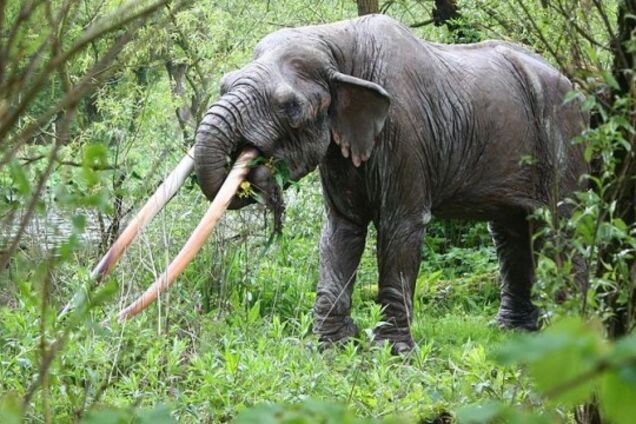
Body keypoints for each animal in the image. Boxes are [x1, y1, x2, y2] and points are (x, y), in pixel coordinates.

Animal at [193, 13, 588, 352]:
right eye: (224, 84)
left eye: (290, 106)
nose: (253, 166)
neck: (335, 41)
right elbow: (341, 229)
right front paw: (331, 347)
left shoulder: (405, 132)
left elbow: (401, 226)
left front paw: (393, 353)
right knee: (511, 231)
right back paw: (513, 333)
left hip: (564, 133)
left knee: (562, 226)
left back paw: (573, 336)